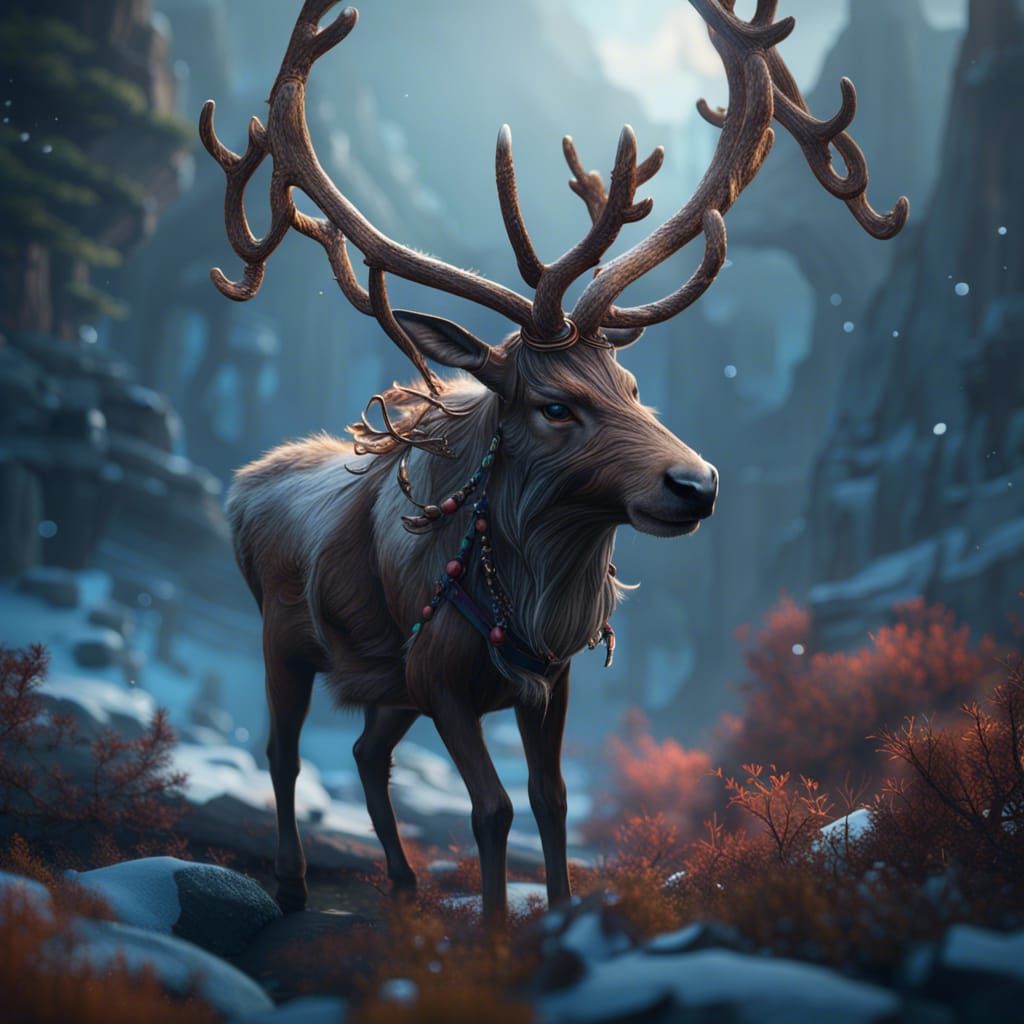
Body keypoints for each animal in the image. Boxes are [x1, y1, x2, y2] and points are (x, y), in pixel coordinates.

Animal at [202, 0, 908, 920]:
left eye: (633, 385)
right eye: (555, 406)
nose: (697, 484)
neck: (536, 599)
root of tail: (242, 489)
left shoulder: (549, 682)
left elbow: (553, 799)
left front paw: (564, 913)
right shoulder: (442, 680)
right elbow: (493, 809)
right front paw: (499, 928)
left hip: (386, 682)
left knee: (363, 750)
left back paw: (404, 884)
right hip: (283, 638)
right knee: (284, 751)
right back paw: (290, 883)